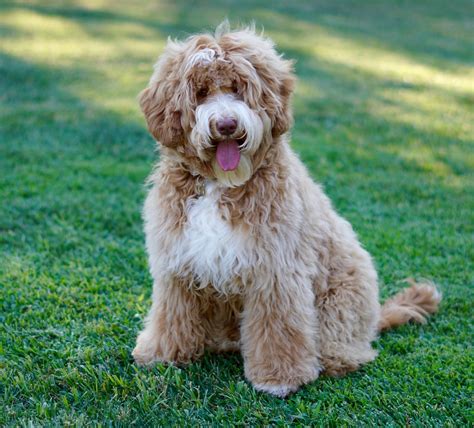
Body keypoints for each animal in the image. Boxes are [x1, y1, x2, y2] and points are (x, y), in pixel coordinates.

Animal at [131, 22, 442, 398]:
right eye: (201, 92)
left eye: (239, 88)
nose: (226, 125)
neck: (220, 184)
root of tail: (374, 319)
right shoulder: (177, 264)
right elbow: (171, 315)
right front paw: (161, 354)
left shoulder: (275, 271)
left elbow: (278, 328)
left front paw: (278, 378)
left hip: (339, 303)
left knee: (348, 348)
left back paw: (338, 359)